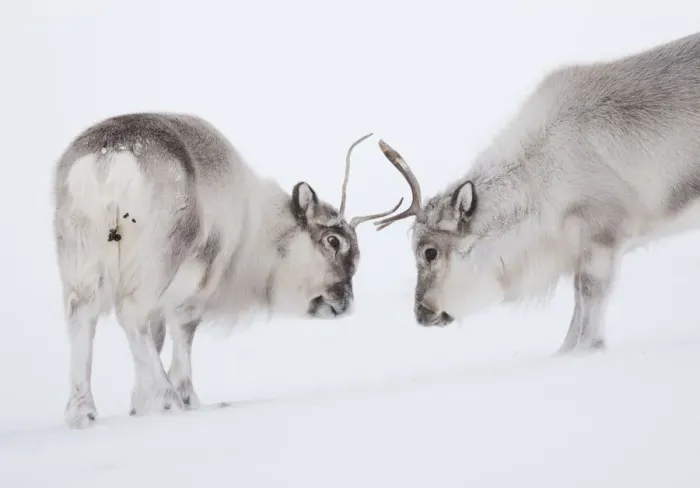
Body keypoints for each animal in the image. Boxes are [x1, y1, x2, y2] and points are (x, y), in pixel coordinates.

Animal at [52, 113, 403, 428]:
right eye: (333, 241)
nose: (345, 303)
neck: (256, 230)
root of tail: (109, 159)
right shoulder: (200, 282)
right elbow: (182, 333)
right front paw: (183, 397)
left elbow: (158, 335)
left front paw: (139, 404)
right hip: (155, 258)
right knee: (130, 314)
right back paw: (168, 399)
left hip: (80, 256)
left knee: (81, 316)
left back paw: (81, 411)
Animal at [371, 32, 700, 354]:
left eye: (430, 252)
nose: (421, 313)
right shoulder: (577, 248)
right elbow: (578, 299)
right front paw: (565, 351)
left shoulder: (603, 233)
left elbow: (591, 293)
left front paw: (589, 349)